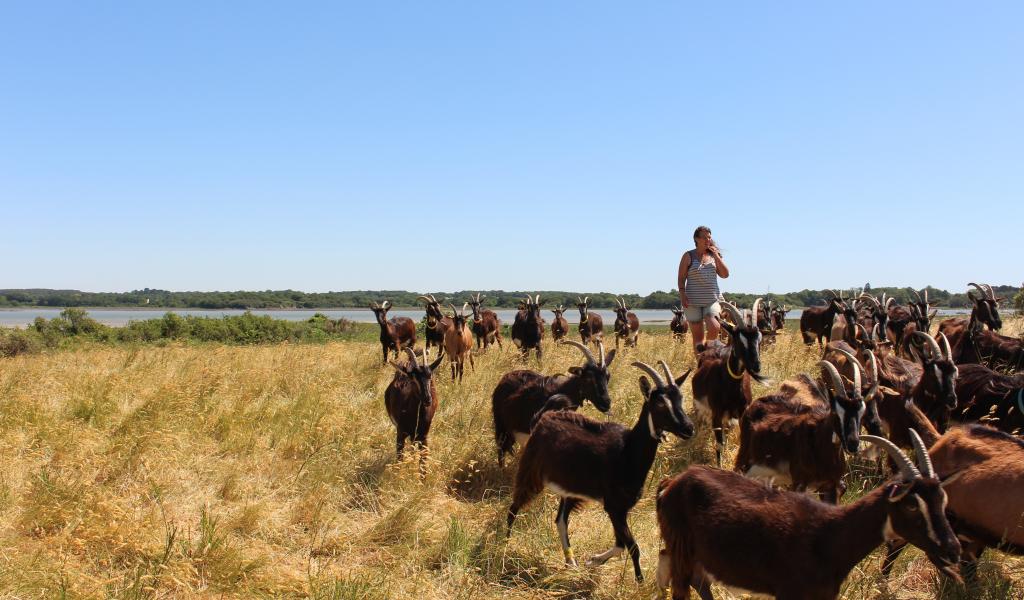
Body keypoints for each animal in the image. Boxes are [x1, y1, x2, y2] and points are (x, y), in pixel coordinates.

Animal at [505, 360, 696, 577]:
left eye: (680, 398)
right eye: (660, 404)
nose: (688, 428)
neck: (627, 452)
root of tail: (544, 417)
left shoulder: (621, 509)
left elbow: (621, 544)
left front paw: (593, 561)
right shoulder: (614, 506)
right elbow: (633, 547)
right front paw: (638, 580)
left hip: (571, 488)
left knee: (560, 520)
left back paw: (571, 562)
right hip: (531, 471)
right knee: (514, 507)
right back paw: (504, 545)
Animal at [655, 432, 958, 593]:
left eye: (942, 500)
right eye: (911, 504)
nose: (952, 548)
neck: (829, 535)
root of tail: (673, 482)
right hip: (682, 548)